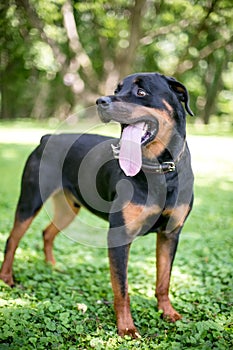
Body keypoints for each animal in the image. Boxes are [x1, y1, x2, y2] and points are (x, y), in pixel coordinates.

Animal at [0, 72, 194, 338]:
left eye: (141, 92)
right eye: (117, 89)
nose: (101, 101)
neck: (161, 171)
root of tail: (47, 138)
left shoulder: (170, 233)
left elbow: (163, 280)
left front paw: (168, 313)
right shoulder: (119, 236)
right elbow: (121, 288)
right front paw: (127, 328)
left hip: (69, 207)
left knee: (47, 233)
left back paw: (53, 267)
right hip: (30, 200)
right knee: (13, 238)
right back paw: (6, 277)